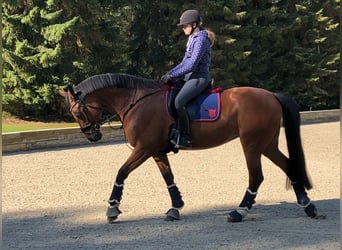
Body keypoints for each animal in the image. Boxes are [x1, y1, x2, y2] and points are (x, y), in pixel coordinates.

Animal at [59, 72, 318, 223]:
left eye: (77, 111)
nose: (92, 135)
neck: (136, 102)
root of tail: (271, 95)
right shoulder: (156, 151)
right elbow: (169, 178)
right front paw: (176, 207)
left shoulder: (143, 148)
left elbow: (121, 172)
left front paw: (113, 208)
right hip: (266, 143)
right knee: (289, 165)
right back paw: (307, 205)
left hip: (252, 144)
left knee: (256, 176)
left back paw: (239, 211)